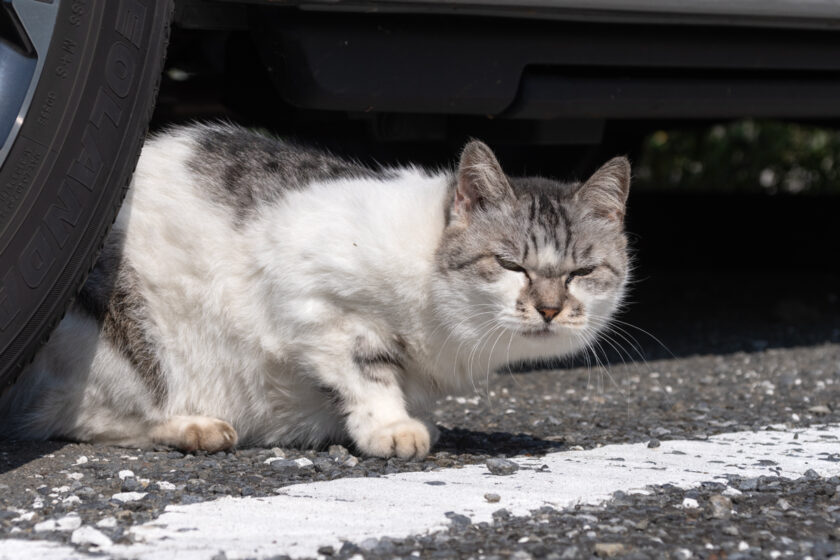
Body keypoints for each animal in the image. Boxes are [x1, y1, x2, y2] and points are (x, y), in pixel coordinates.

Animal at [0, 123, 632, 460]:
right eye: (510, 265)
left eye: (581, 272)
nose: (550, 307)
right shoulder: (313, 300)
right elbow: (369, 369)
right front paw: (392, 426)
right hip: (120, 344)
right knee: (71, 415)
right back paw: (194, 426)